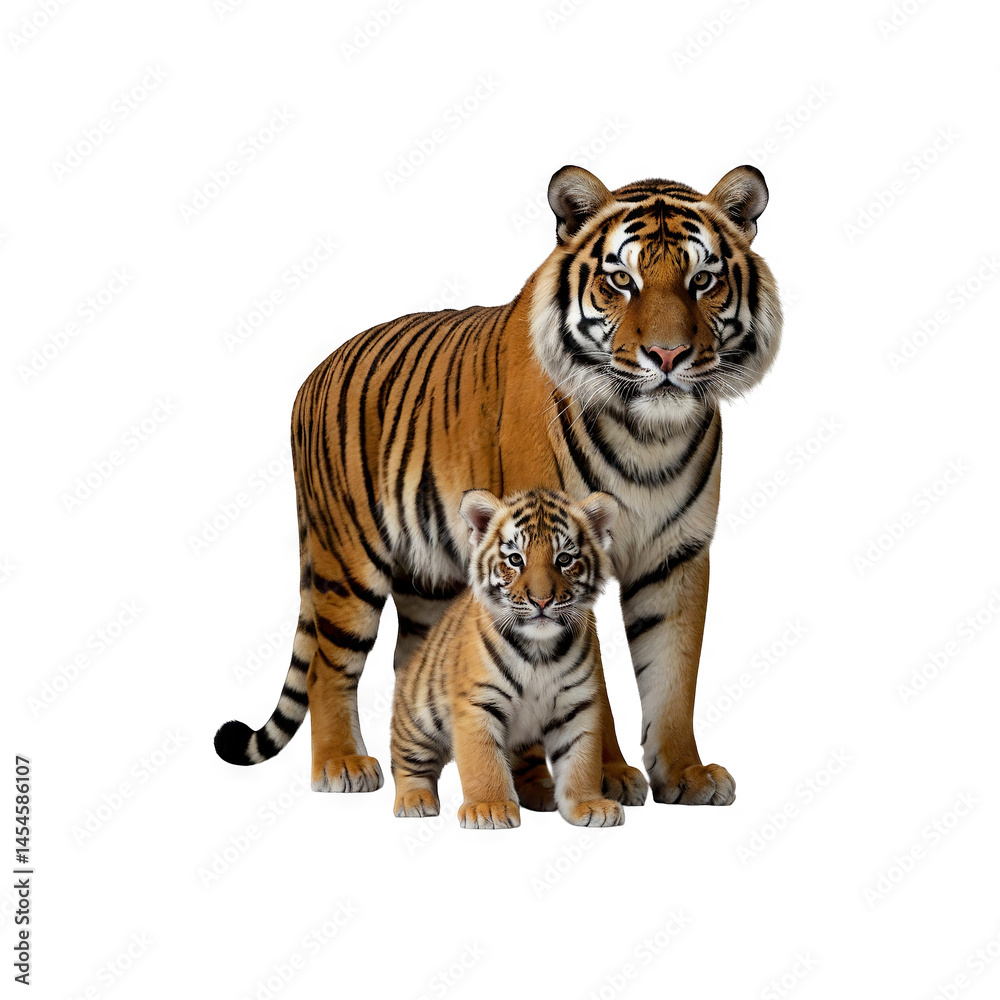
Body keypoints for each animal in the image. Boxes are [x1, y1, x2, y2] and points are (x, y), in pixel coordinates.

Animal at [391, 487, 624, 829]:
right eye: (515, 559)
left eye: (564, 559)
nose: (542, 600)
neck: (540, 650)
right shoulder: (477, 704)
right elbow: (483, 762)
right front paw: (489, 808)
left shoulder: (577, 705)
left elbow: (582, 760)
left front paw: (590, 805)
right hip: (418, 719)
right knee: (409, 763)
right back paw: (415, 800)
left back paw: (541, 794)